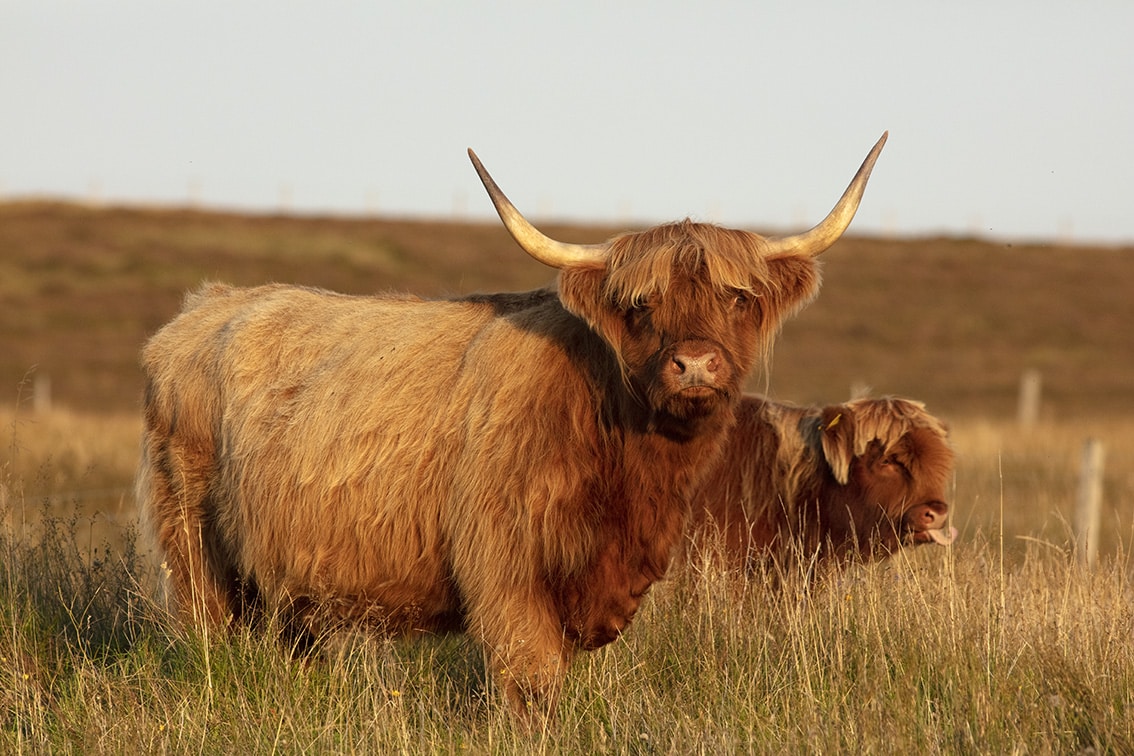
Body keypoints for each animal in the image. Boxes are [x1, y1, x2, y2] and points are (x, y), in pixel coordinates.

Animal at [139, 133, 884, 720]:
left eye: (737, 297)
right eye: (640, 304)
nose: (695, 364)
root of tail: (204, 307)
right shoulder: (505, 570)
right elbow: (531, 682)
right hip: (194, 545)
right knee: (207, 634)